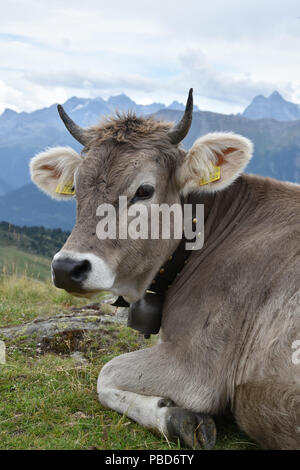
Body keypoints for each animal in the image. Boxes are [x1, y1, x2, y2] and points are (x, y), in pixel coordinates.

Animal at [29, 90, 300, 450]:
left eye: (144, 190)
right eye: (76, 188)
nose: (66, 267)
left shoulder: (196, 369)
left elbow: (106, 373)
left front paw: (177, 418)